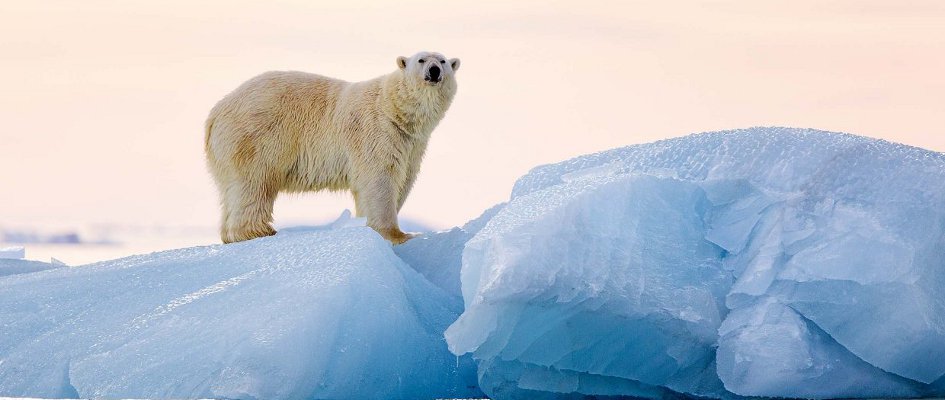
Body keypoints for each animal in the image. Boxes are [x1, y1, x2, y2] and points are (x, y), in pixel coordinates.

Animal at [205, 51, 460, 245]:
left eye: (443, 61)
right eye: (421, 59)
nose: (434, 71)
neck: (393, 110)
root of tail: (216, 112)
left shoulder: (412, 144)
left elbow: (403, 178)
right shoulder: (377, 133)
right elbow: (380, 179)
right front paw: (399, 235)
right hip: (256, 137)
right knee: (255, 183)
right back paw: (259, 231)